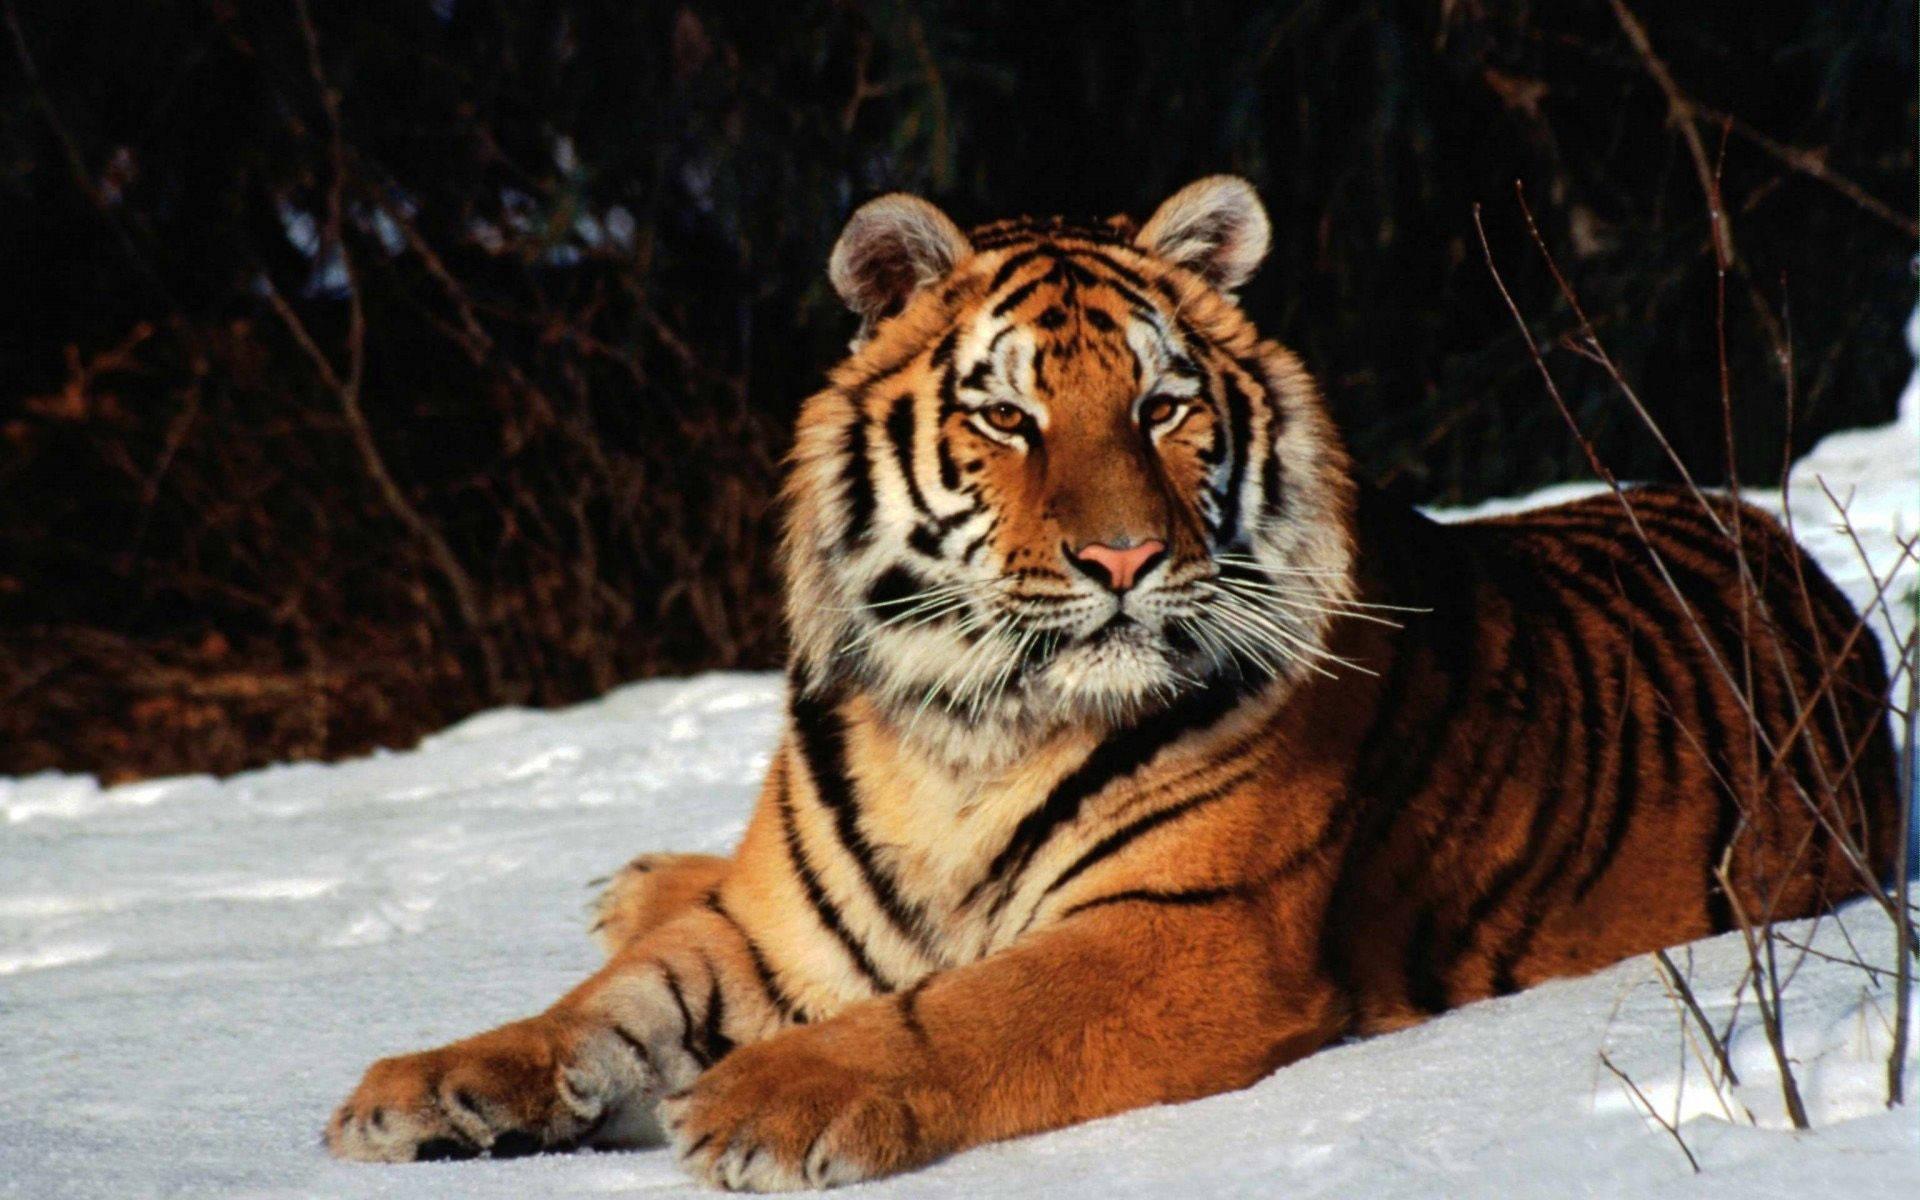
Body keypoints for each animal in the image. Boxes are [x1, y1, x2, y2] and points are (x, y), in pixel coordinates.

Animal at [325, 176, 1899, 1189]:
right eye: (1007, 418)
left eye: (1163, 405)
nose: (1128, 556)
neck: (964, 730)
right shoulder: (777, 929)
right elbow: (603, 1008)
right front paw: (424, 1089)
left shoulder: (1186, 932)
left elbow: (961, 1012)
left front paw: (768, 1101)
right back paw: (634, 879)